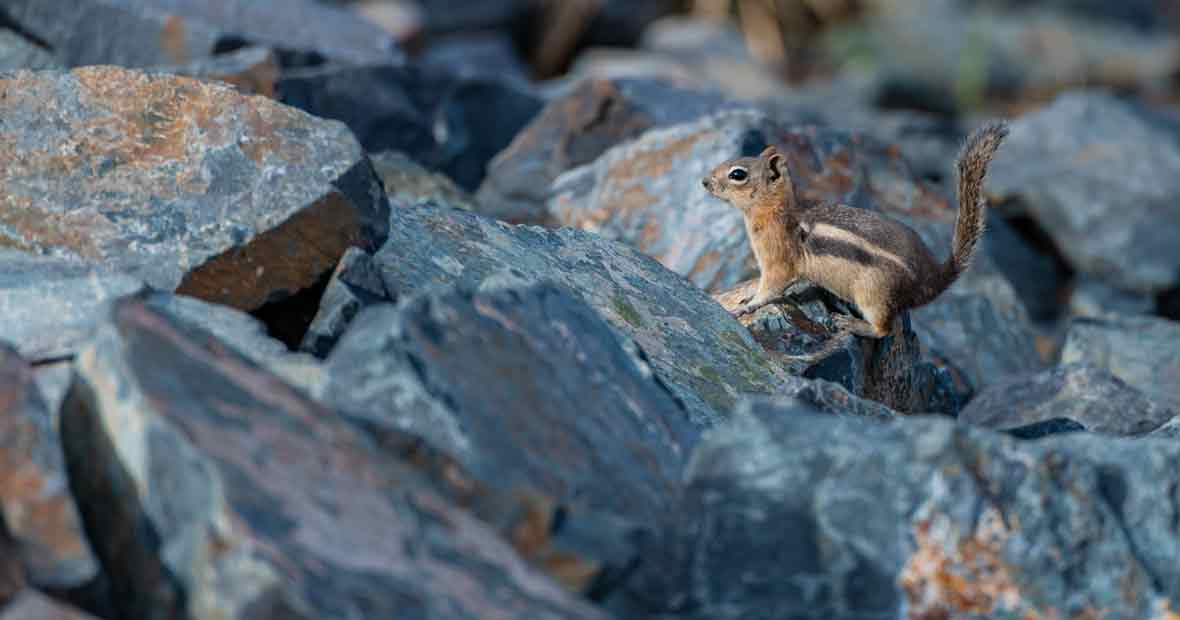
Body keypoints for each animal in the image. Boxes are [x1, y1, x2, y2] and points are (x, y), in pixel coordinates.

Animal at [703, 121, 1010, 363]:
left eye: (738, 174)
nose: (704, 181)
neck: (774, 212)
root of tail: (933, 278)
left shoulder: (778, 260)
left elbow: (771, 287)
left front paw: (748, 303)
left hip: (874, 293)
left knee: (883, 329)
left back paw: (851, 323)